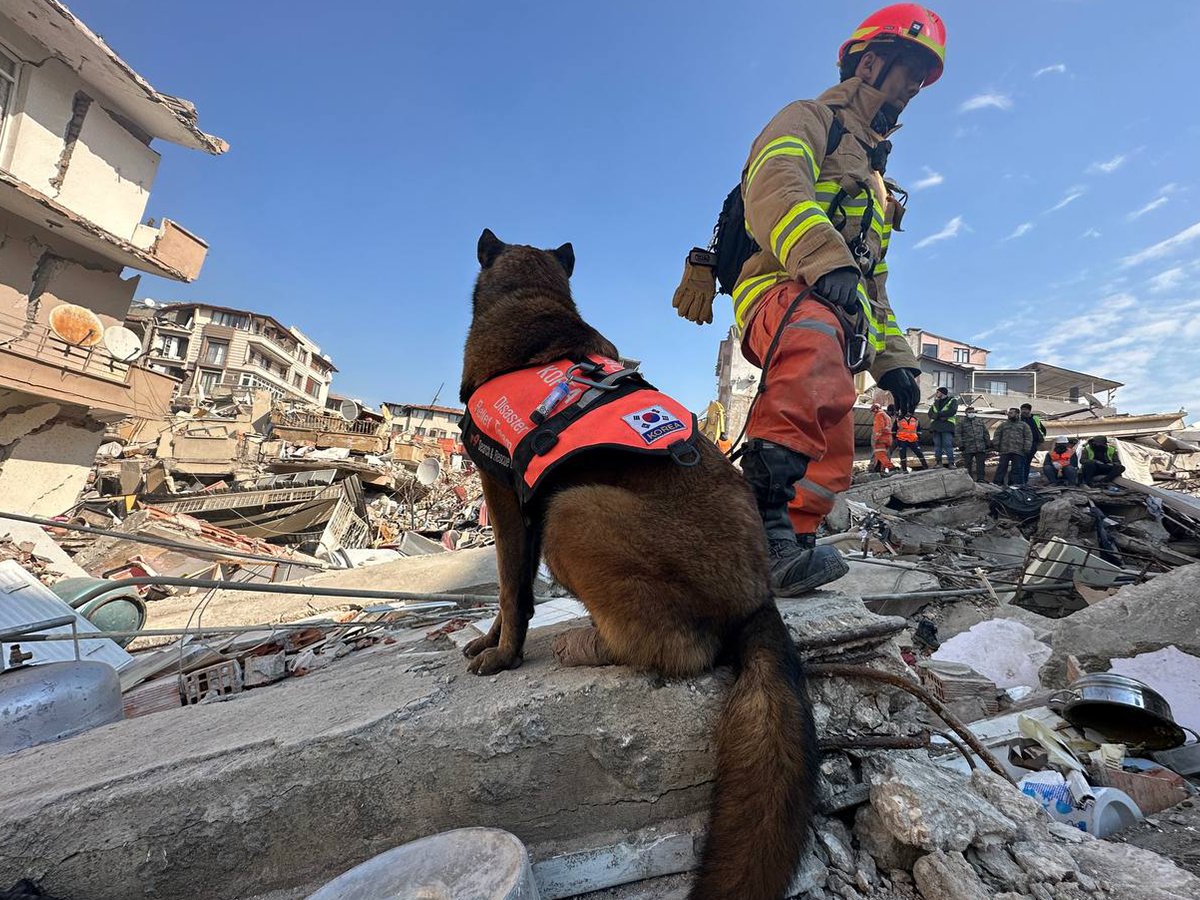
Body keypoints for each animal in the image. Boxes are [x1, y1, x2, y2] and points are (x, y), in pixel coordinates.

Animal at [456, 230, 816, 900]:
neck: (533, 304)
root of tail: (757, 598)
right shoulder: (518, 505)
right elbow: (511, 590)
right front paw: (491, 640)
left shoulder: (506, 495)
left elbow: (510, 587)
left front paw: (504, 654)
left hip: (572, 511)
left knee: (682, 648)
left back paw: (587, 645)